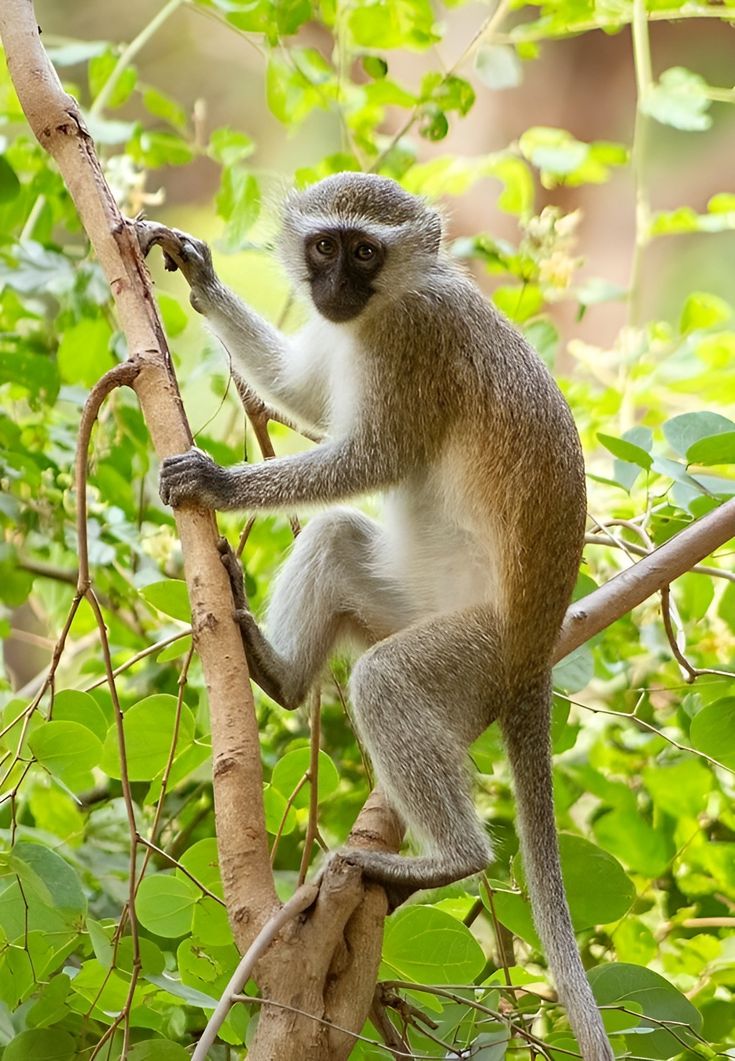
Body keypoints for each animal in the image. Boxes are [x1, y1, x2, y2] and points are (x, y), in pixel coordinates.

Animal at [137, 172, 613, 1061]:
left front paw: (217, 483)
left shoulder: (411, 342)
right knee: (333, 536)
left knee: (388, 677)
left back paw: (449, 859)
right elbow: (309, 397)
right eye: (324, 245)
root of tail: (537, 645)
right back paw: (280, 676)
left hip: (472, 648)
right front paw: (196, 272)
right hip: (410, 603)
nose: (331, 285)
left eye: (364, 251)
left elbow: (369, 456)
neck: (392, 299)